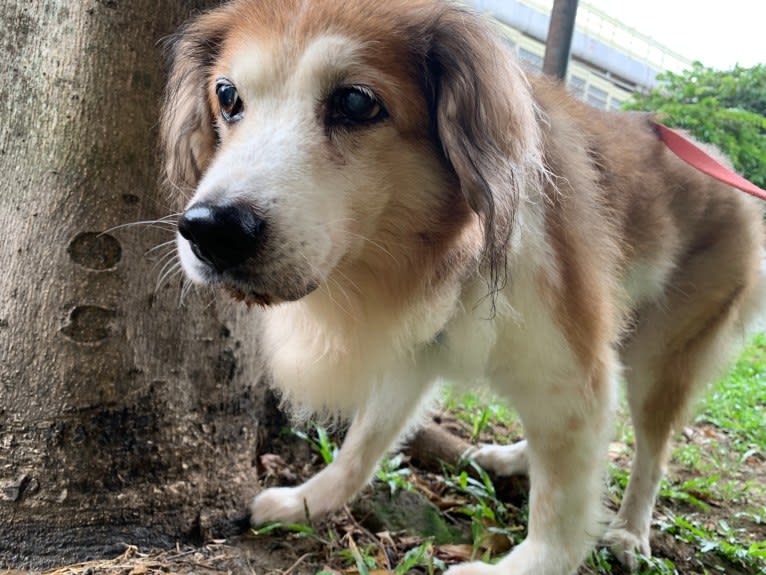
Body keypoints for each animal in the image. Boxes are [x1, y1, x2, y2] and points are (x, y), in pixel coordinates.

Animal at [159, 2, 764, 572]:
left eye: (355, 103)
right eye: (227, 96)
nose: (209, 230)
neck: (443, 251)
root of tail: (726, 168)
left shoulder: (576, 365)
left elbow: (564, 514)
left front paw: (531, 566)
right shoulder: (417, 353)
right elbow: (364, 443)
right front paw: (309, 501)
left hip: (662, 358)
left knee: (649, 453)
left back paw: (630, 531)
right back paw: (517, 456)